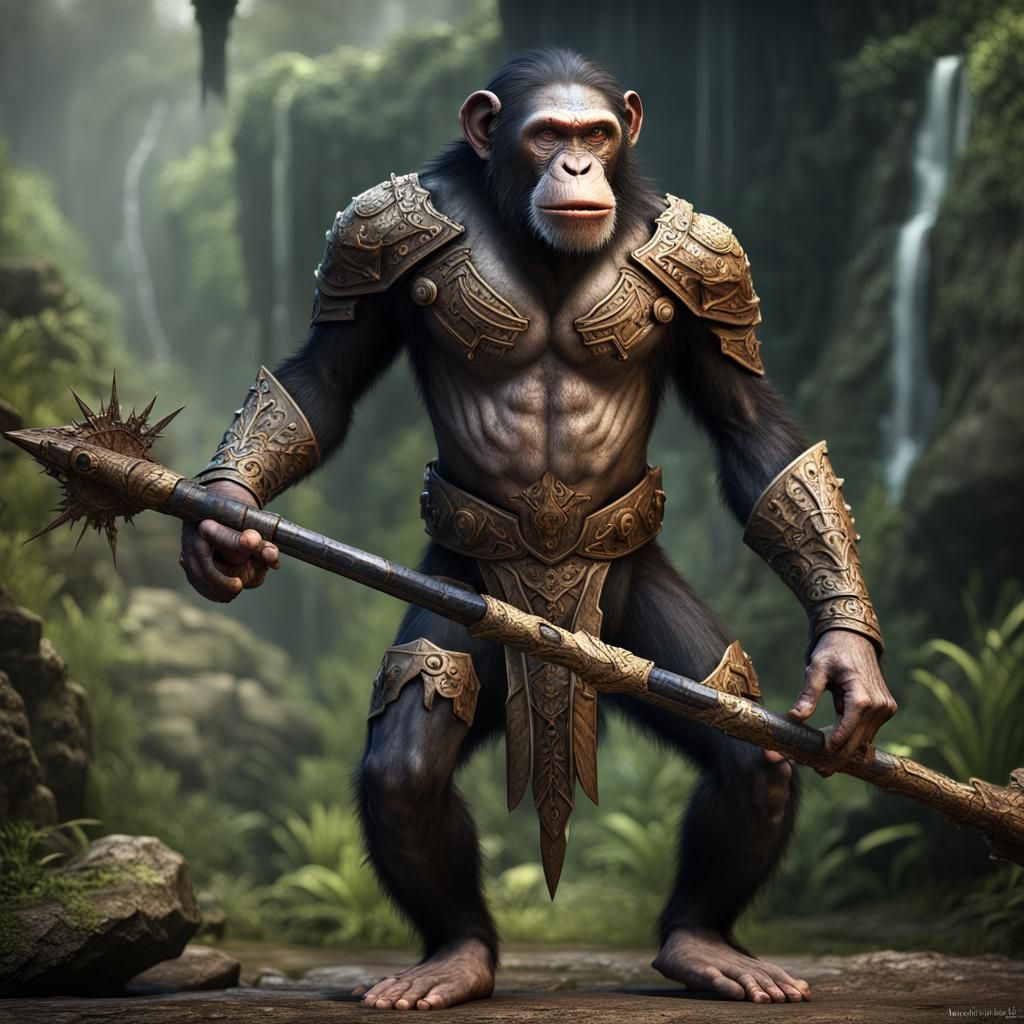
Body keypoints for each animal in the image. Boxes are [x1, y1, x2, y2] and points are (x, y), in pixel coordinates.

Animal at [180, 48, 897, 1011]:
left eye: (596, 131)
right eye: (546, 135)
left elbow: (757, 439)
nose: (580, 166)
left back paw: (703, 944)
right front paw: (223, 516)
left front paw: (849, 661)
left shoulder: (717, 265)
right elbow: (318, 383)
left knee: (752, 753)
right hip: (469, 606)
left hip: (632, 614)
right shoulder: (370, 238)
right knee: (410, 758)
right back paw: (458, 955)